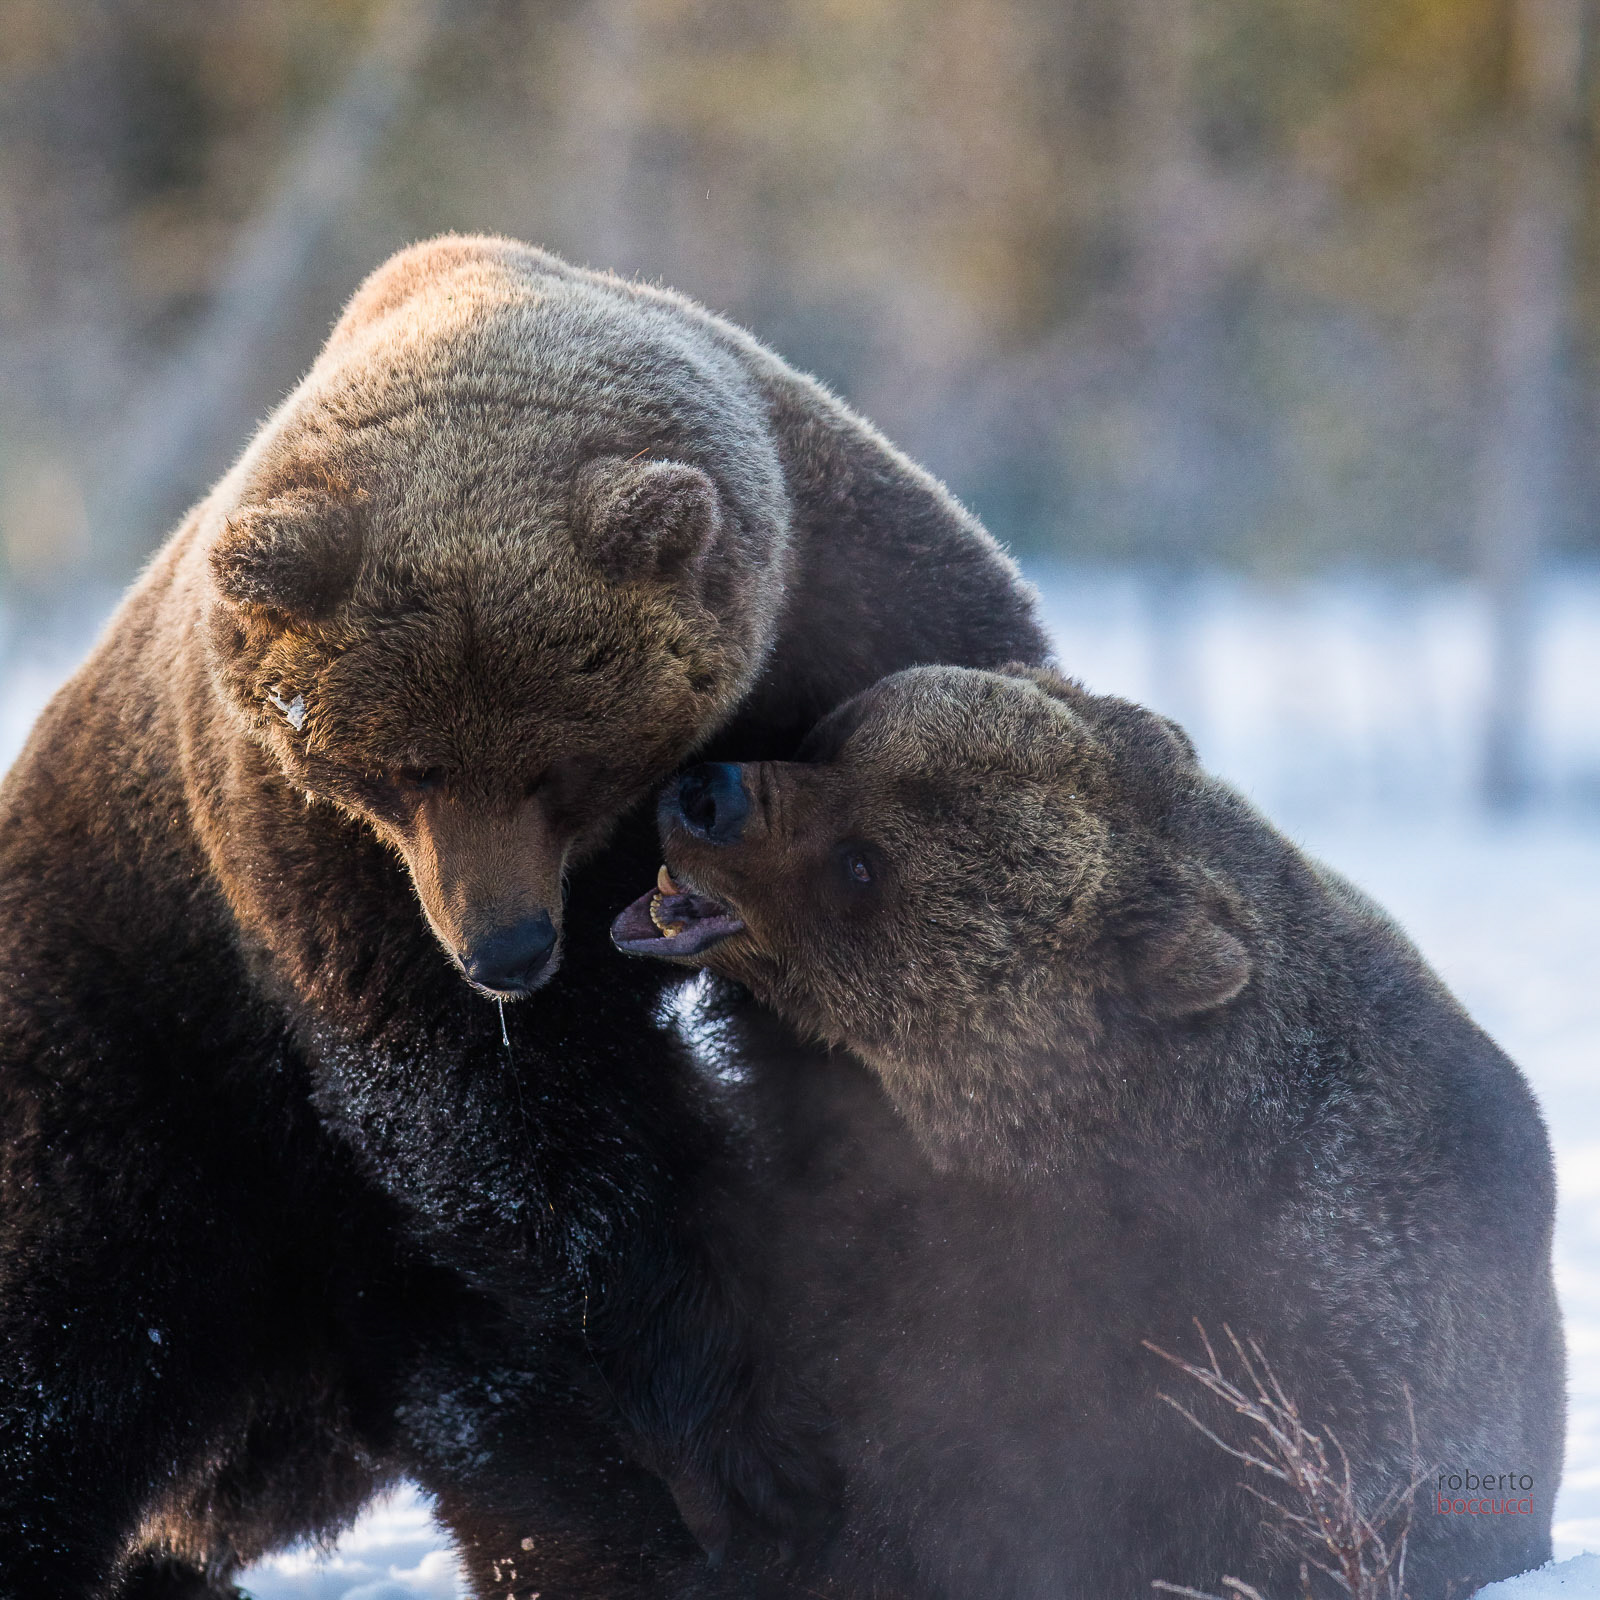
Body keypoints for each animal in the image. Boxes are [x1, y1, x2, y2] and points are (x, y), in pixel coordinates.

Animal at [0, 236, 1049, 1598]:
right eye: (401, 768)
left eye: (559, 762)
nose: (504, 950)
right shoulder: (315, 871)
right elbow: (516, 1134)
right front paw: (749, 1429)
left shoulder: (855, 621)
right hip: (135, 1041)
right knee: (73, 1339)